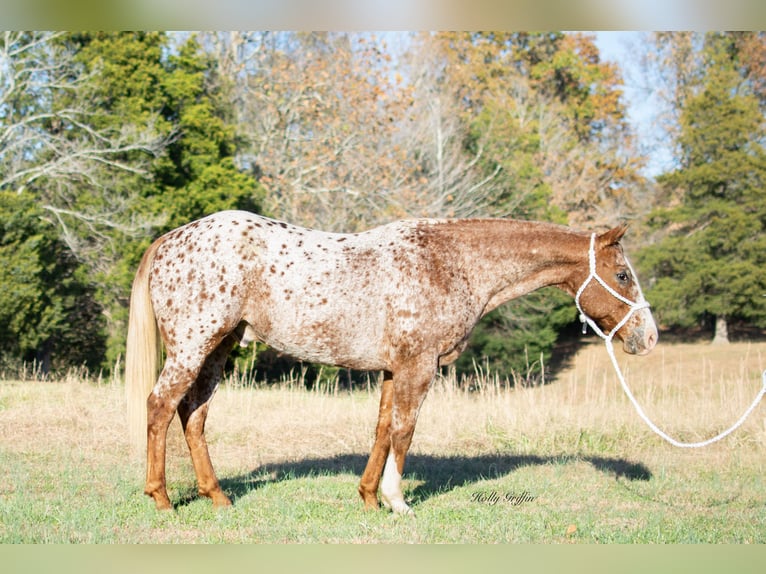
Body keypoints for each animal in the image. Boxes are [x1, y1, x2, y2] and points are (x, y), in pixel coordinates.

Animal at [126, 210, 660, 512]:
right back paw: (163, 500)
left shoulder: (393, 370)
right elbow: (405, 431)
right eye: (622, 274)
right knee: (158, 408)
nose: (648, 337)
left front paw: (368, 499)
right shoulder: (418, 368)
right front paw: (398, 502)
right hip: (193, 347)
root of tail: (170, 239)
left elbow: (383, 429)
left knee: (192, 416)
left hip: (220, 348)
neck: (450, 262)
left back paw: (217, 497)